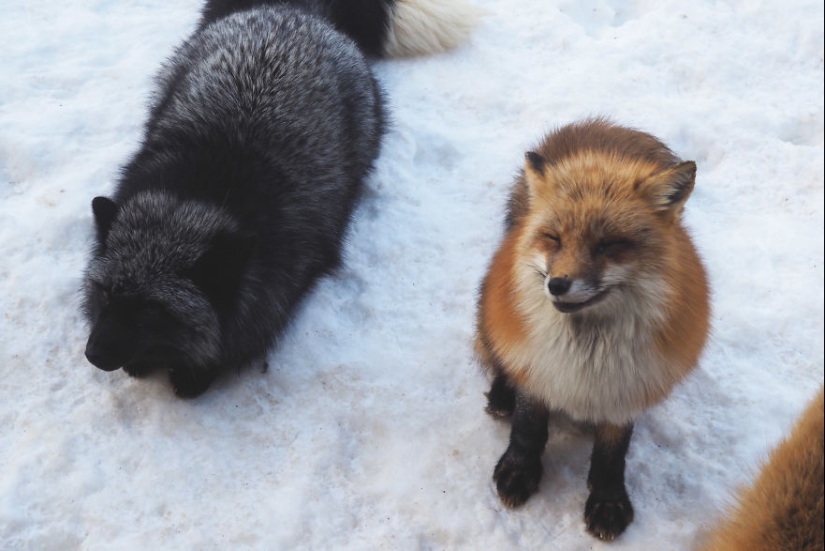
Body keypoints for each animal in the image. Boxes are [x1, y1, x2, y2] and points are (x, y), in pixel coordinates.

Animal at [474, 118, 712, 540]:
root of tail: (600, 128)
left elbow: (612, 453)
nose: (557, 284)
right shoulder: (538, 366)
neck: (588, 351)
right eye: (553, 238)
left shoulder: (629, 385)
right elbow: (528, 428)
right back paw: (502, 392)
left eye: (609, 245)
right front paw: (519, 470)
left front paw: (607, 500)